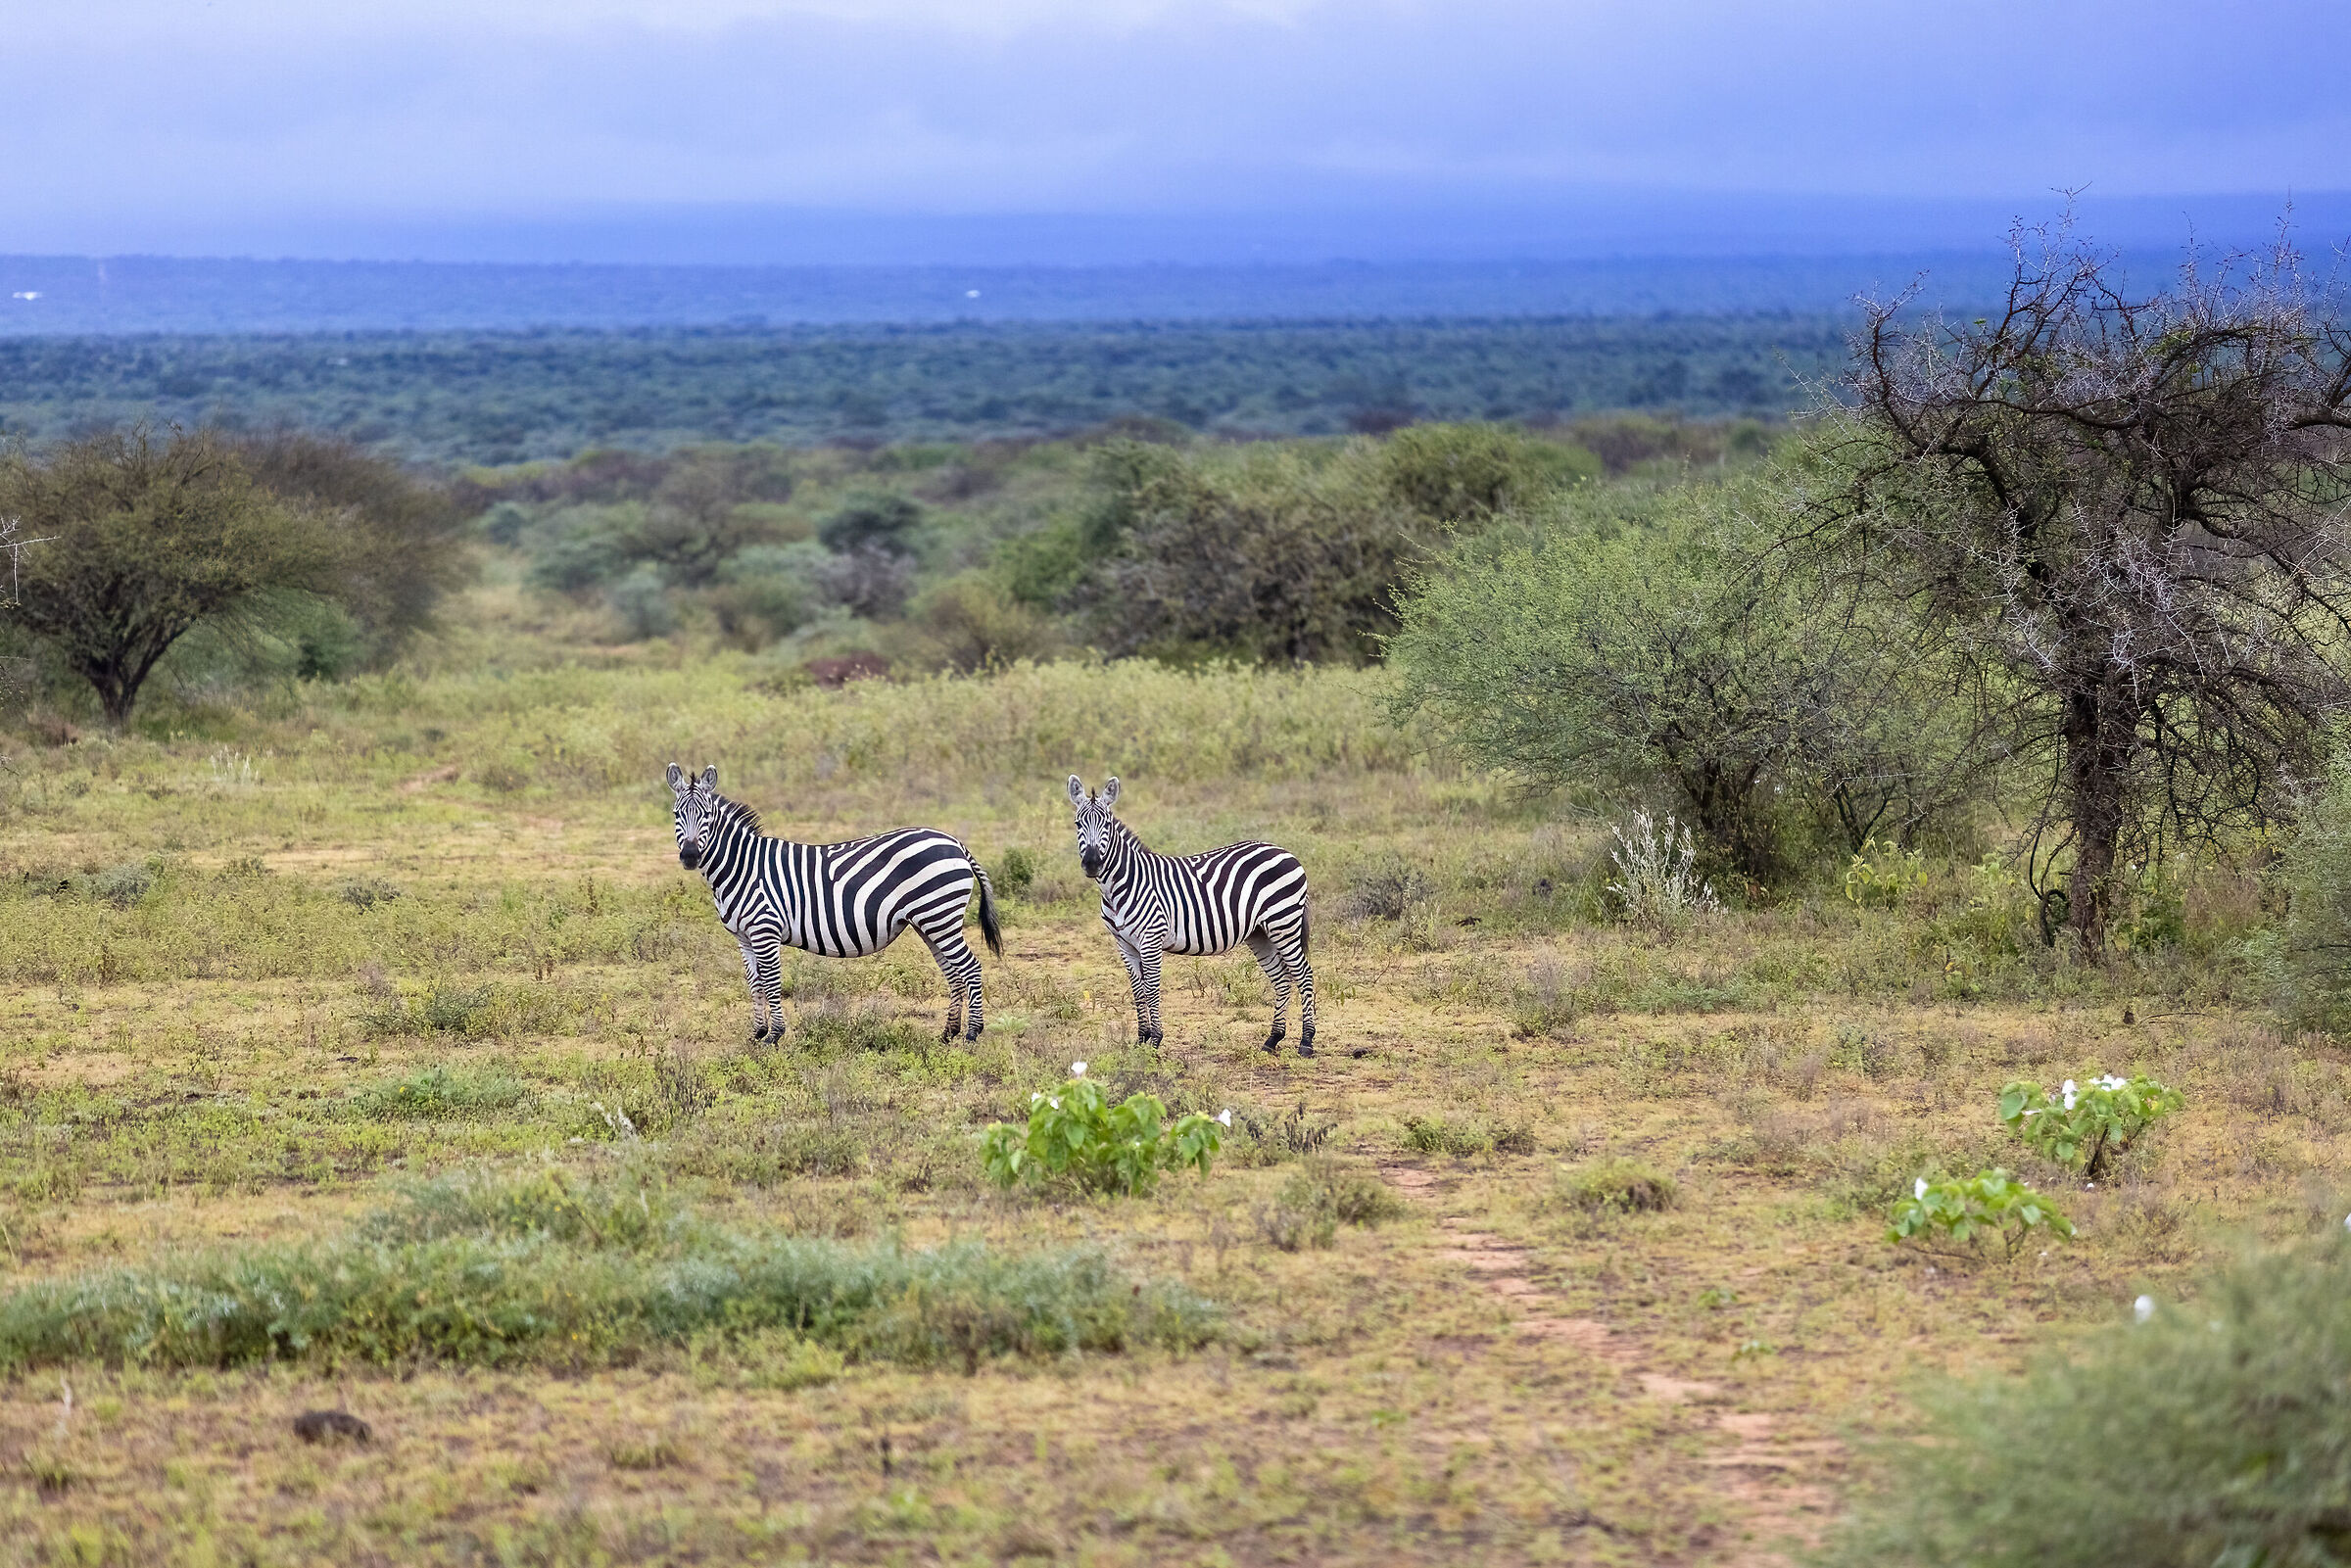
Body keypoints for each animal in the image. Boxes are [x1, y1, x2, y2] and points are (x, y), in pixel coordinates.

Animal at [667, 763, 1002, 1043]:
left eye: (707, 815)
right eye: (676, 815)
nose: (690, 856)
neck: (743, 867)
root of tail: (954, 842)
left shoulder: (765, 930)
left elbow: (772, 981)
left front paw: (774, 1035)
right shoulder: (743, 936)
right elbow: (755, 983)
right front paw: (757, 1033)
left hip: (939, 916)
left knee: (970, 967)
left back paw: (972, 1032)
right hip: (929, 922)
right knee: (953, 971)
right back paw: (948, 1032)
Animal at [1067, 775, 1317, 1056]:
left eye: (1107, 825)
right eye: (1078, 824)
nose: (1091, 864)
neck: (1120, 885)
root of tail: (1283, 851)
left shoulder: (1151, 938)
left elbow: (1151, 988)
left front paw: (1155, 1040)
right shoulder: (1124, 944)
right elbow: (1138, 991)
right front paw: (1141, 1040)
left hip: (1283, 923)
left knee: (1304, 975)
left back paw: (1306, 1042)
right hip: (1260, 933)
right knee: (1282, 979)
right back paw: (1273, 1039)